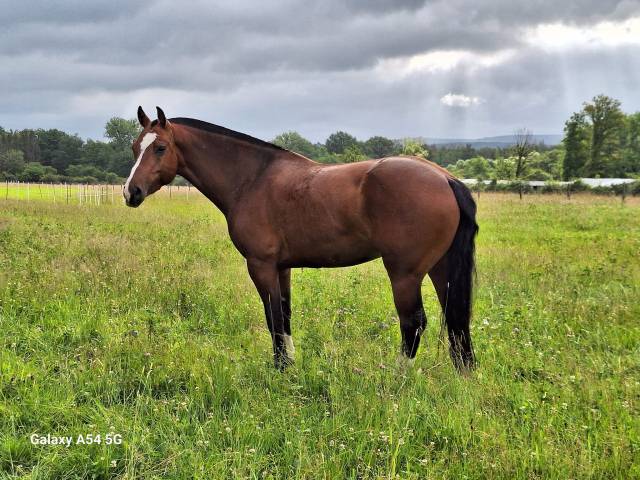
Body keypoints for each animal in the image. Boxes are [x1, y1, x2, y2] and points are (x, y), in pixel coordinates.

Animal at [125, 108, 478, 372]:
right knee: (455, 318)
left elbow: (272, 318)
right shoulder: (281, 267)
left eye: (160, 148)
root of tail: (445, 178)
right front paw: (290, 364)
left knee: (413, 322)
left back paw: (396, 376)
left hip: (405, 273)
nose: (131, 191)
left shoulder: (261, 265)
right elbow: (285, 314)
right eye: (134, 147)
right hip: (440, 269)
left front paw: (280, 368)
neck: (252, 178)